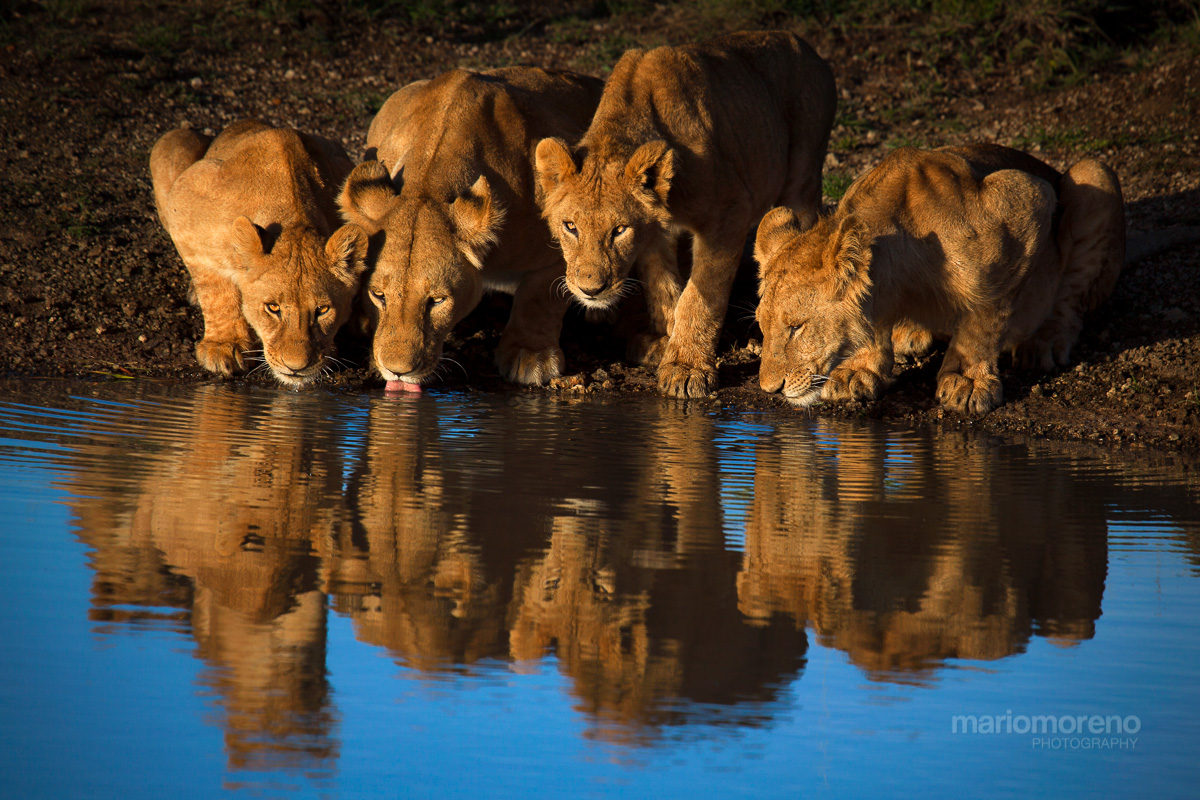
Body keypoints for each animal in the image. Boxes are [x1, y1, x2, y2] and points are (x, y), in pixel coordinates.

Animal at [150, 119, 368, 386]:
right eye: (272, 308)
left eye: (322, 310)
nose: (296, 367)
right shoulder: (185, 201)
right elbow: (215, 288)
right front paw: (224, 345)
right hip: (171, 142)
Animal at [337, 67, 604, 390]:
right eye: (378, 295)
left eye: (437, 300)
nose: (397, 371)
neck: (429, 181)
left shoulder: (561, 243)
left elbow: (540, 298)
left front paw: (531, 356)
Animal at [534, 31, 836, 398]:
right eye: (570, 226)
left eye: (619, 230)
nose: (591, 290)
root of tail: (804, 44)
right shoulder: (654, 232)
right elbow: (663, 287)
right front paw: (666, 341)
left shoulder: (729, 212)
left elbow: (700, 295)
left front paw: (686, 368)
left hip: (803, 174)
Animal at [754, 143, 1126, 415]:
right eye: (762, 326)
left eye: (797, 327)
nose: (770, 389)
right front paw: (860, 368)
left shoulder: (1025, 201)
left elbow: (985, 317)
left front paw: (967, 380)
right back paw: (911, 333)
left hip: (1094, 175)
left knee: (1071, 298)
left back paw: (1043, 342)